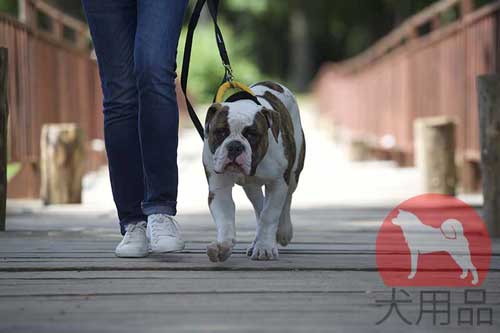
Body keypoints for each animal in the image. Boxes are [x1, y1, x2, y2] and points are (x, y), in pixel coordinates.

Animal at [202, 81, 304, 260]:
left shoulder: (278, 183)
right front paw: (223, 246)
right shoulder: (219, 188)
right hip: (251, 187)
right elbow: (225, 218)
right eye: (220, 132)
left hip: (293, 174)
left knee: (286, 199)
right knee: (259, 205)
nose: (235, 146)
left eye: (252, 134)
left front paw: (264, 247)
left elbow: (269, 214)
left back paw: (283, 231)